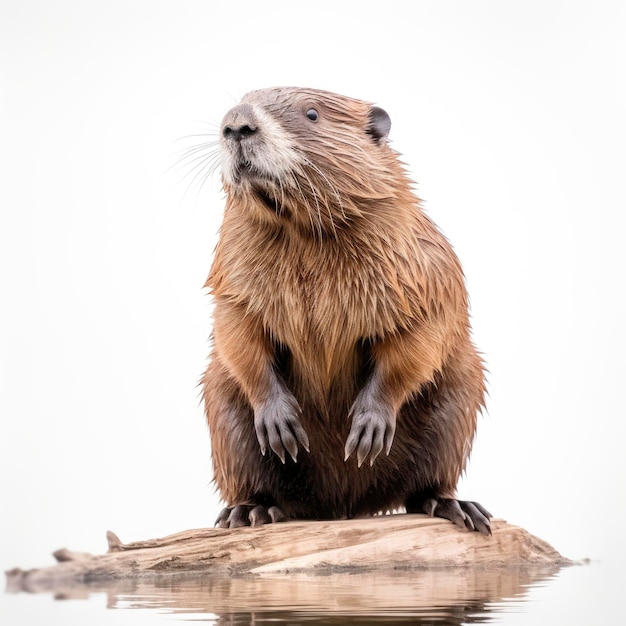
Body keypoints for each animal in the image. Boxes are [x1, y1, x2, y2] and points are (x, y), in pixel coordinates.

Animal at [200, 86, 488, 532]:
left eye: (312, 113)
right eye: (242, 99)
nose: (237, 124)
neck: (300, 231)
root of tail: (340, 506)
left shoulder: (420, 270)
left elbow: (416, 339)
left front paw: (368, 429)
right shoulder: (231, 269)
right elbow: (238, 332)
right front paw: (280, 424)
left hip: (458, 397)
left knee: (426, 484)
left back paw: (457, 507)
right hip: (224, 413)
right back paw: (248, 512)